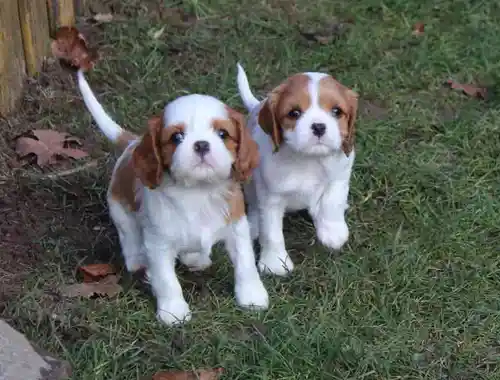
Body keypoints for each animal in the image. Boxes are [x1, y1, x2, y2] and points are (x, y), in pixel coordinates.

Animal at [77, 70, 270, 324]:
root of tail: (132, 143)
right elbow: (167, 279)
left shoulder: (237, 228)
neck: (198, 191)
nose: (201, 145)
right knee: (130, 239)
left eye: (223, 134)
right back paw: (140, 262)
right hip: (120, 210)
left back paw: (196, 259)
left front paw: (252, 297)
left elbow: (246, 264)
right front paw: (173, 312)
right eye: (177, 137)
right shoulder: (158, 242)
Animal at [235, 63, 358, 276]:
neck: (309, 159)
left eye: (337, 111)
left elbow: (332, 202)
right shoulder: (271, 197)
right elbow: (271, 231)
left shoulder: (341, 174)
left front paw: (333, 233)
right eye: (294, 113)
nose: (319, 126)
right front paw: (274, 263)